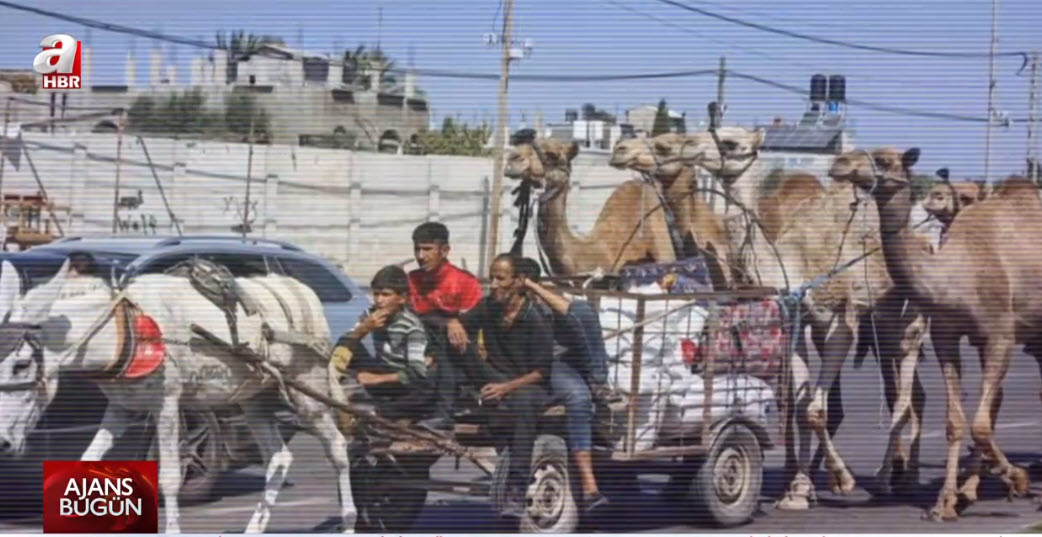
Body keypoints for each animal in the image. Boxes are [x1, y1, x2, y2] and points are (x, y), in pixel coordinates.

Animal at [0, 261, 357, 533]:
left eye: (21, 364)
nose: (3, 443)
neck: (126, 328)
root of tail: (301, 290)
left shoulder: (167, 405)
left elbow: (170, 478)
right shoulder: (121, 408)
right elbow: (84, 461)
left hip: (307, 389)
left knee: (337, 447)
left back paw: (349, 521)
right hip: (253, 398)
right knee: (279, 457)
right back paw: (254, 528)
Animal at [830, 148, 1042, 521]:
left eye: (885, 160)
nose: (839, 163)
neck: (957, 273)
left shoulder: (1000, 334)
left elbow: (980, 424)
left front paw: (1018, 479)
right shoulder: (947, 336)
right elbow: (956, 421)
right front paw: (945, 503)